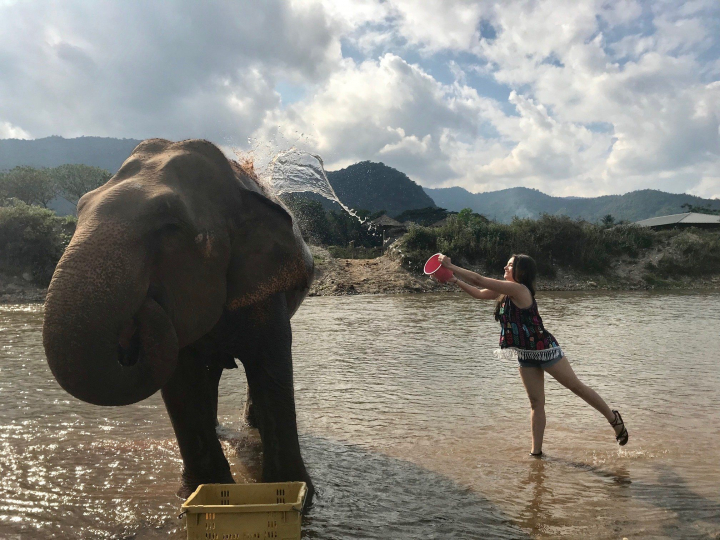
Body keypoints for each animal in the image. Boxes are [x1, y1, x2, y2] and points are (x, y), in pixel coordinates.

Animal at [42, 138, 315, 500]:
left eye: (171, 228)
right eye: (81, 207)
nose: (145, 304)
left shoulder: (265, 290)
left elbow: (270, 366)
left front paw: (296, 491)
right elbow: (181, 379)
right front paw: (201, 491)